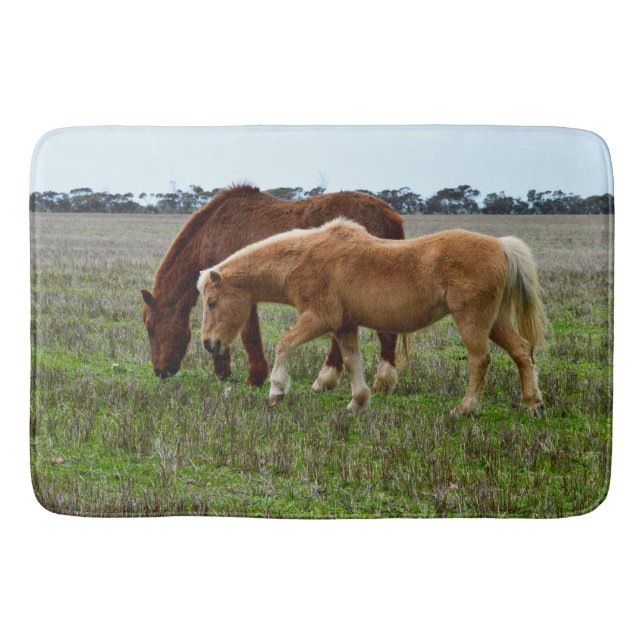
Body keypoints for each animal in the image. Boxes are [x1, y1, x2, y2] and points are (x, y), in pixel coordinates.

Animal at [141, 184, 404, 393]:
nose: (159, 371)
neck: (213, 231)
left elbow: (249, 334)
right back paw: (329, 379)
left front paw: (253, 377)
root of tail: (388, 214)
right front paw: (225, 371)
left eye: (151, 328)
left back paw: (380, 380)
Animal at [197, 218, 547, 416]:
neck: (304, 258)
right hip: (496, 321)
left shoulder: (320, 318)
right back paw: (533, 404)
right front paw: (358, 402)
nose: (208, 344)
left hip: (472, 320)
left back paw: (466, 408)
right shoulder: (344, 325)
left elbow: (284, 344)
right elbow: (352, 362)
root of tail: (501, 246)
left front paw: (276, 392)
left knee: (479, 360)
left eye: (212, 302)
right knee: (521, 351)